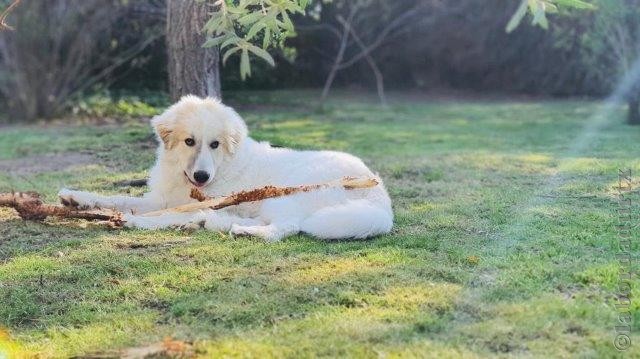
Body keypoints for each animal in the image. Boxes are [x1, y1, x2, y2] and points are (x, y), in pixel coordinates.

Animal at [60, 95, 392, 242]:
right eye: (190, 141)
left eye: (216, 144)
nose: (202, 176)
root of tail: (380, 200)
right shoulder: (161, 199)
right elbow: (118, 199)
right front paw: (75, 198)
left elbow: (158, 215)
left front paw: (132, 221)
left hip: (288, 194)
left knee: (286, 227)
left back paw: (235, 229)